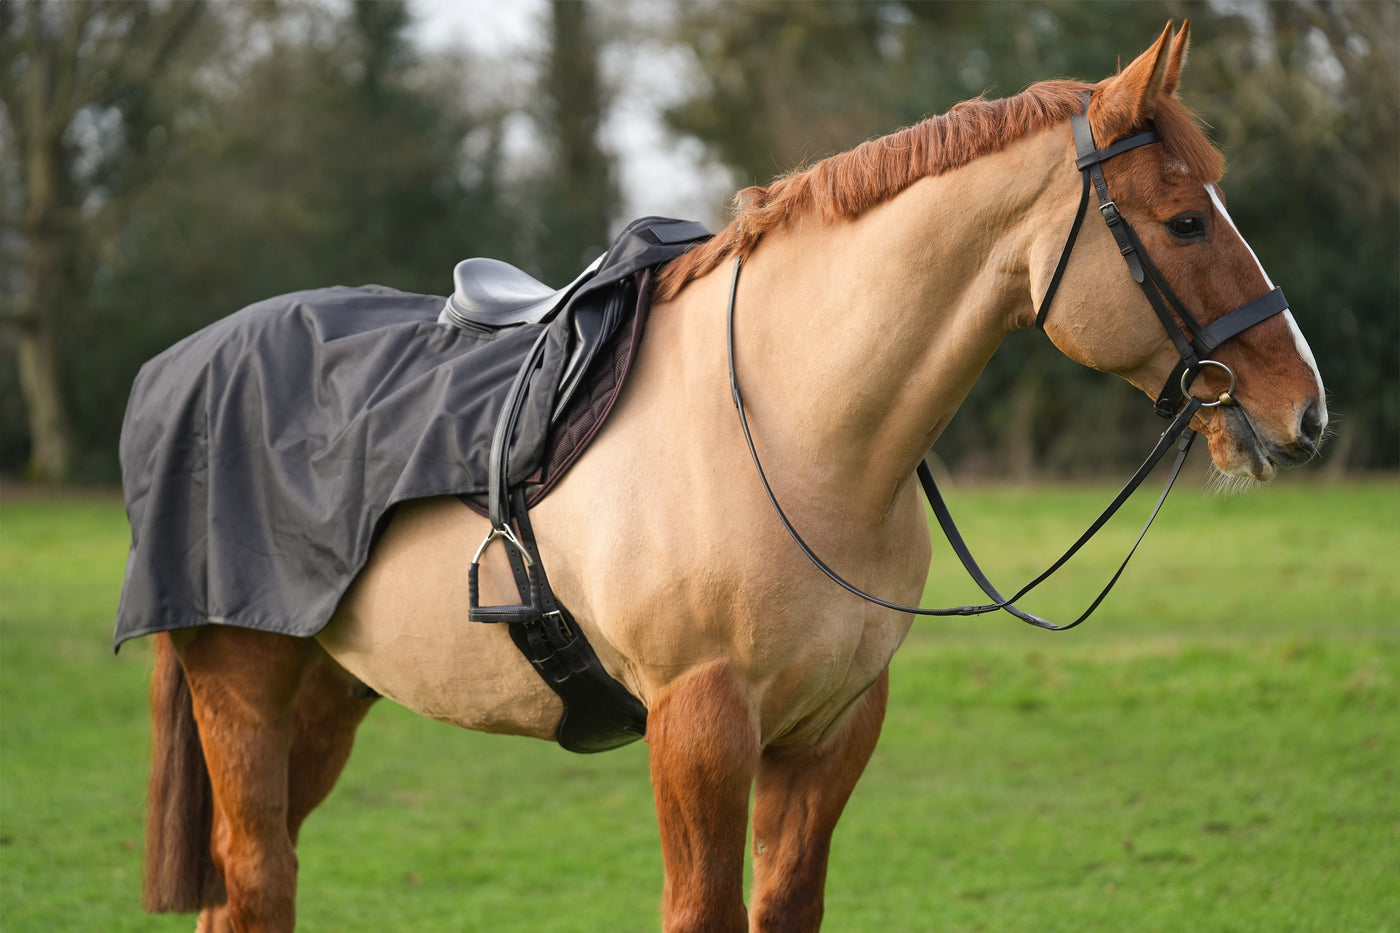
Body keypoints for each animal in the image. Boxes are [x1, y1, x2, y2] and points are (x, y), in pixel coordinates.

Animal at [134, 23, 1326, 932]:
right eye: (1183, 220)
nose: (1301, 411)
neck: (797, 437)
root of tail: (178, 364)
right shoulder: (700, 725)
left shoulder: (830, 729)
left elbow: (782, 903)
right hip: (240, 684)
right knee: (257, 879)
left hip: (326, 695)